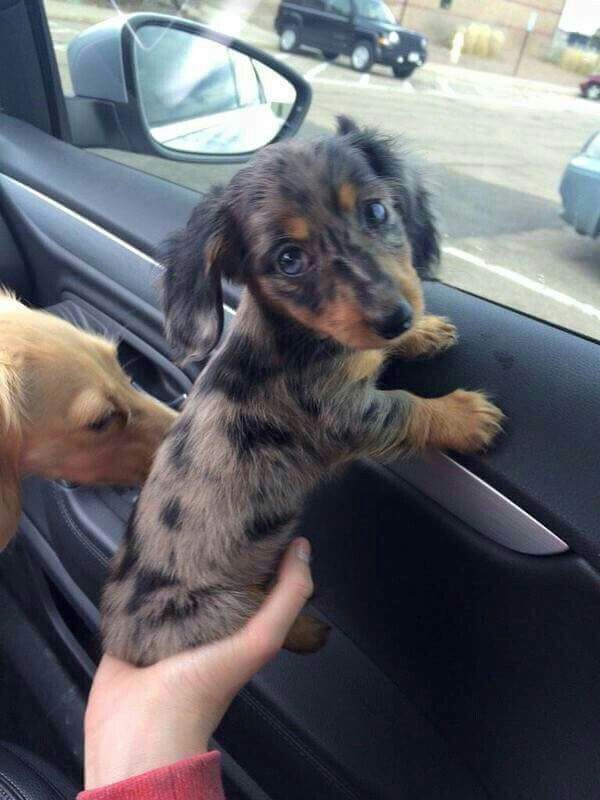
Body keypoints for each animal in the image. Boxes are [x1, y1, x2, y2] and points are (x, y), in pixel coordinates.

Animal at [102, 115, 502, 664]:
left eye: (377, 211)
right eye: (289, 259)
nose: (396, 317)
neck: (298, 336)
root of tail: (117, 635)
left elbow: (380, 352)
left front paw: (423, 332)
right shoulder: (346, 415)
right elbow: (405, 407)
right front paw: (464, 416)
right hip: (214, 613)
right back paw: (307, 628)